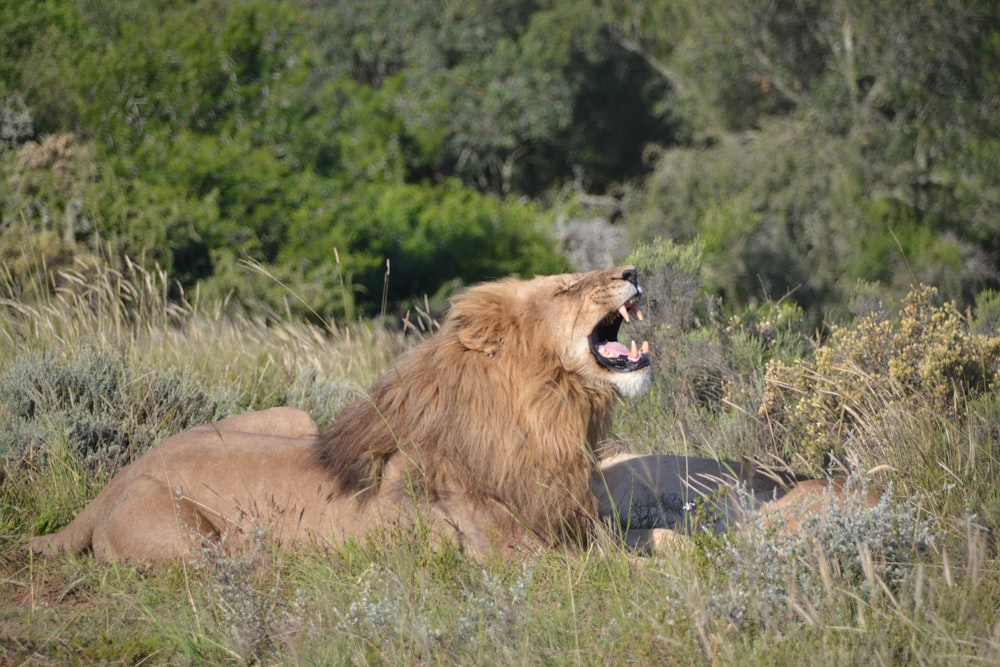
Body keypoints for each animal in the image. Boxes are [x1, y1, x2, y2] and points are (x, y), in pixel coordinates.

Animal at [27, 266, 656, 564]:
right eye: (567, 287)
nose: (632, 270)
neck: (551, 415)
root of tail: (115, 481)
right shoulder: (510, 555)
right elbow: (623, 574)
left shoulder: (579, 525)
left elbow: (652, 542)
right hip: (191, 537)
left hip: (295, 418)